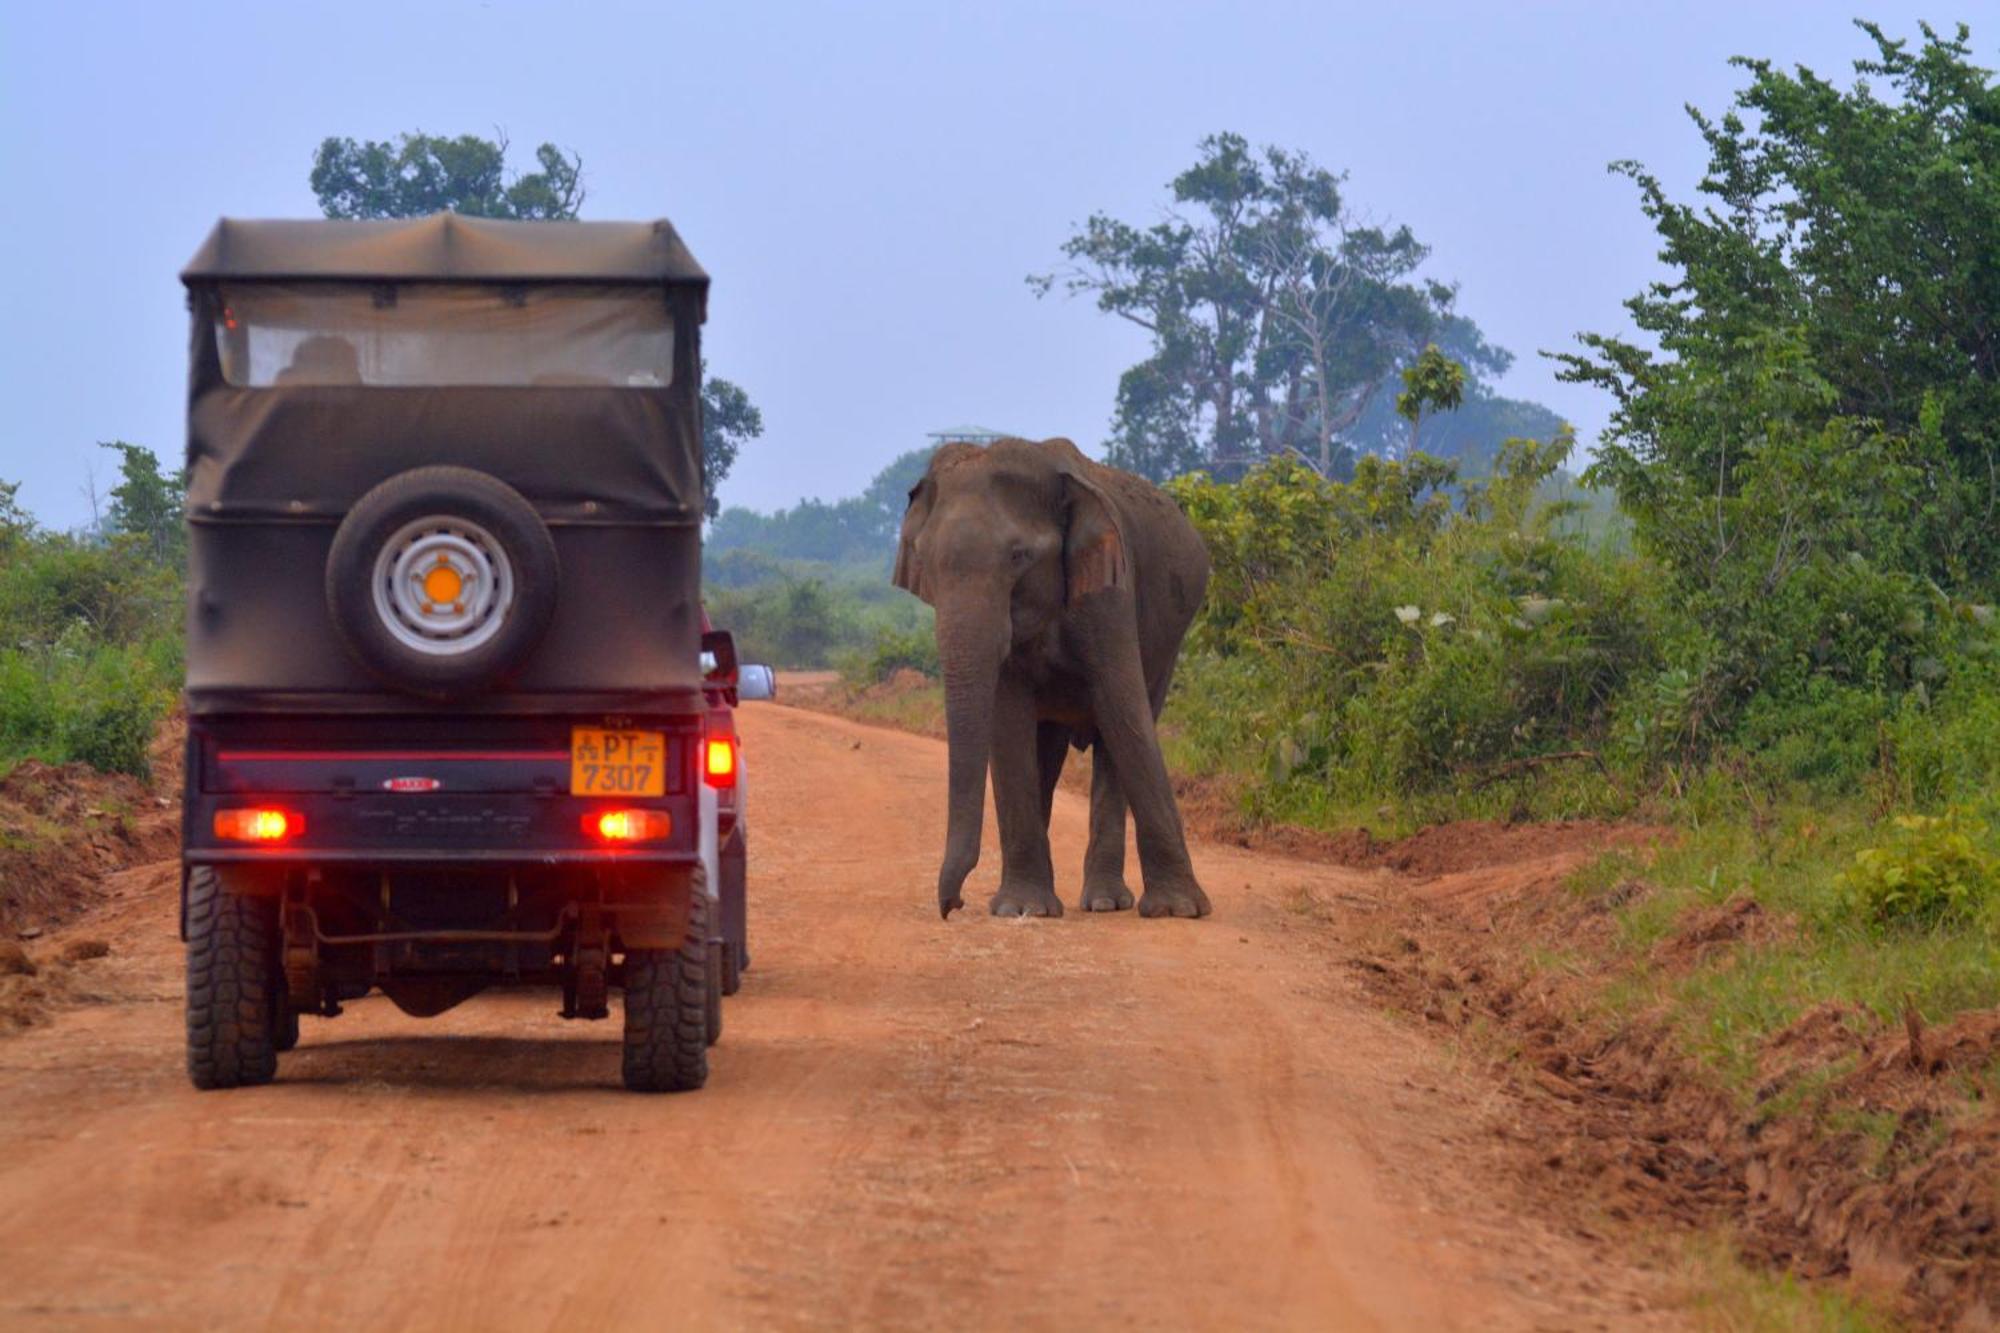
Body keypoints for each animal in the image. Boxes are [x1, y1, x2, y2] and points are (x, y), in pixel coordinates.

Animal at [896, 434, 1208, 912]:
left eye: (1018, 556)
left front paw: (1180, 911)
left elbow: (1126, 713)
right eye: (924, 560)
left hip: (1171, 637)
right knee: (1048, 746)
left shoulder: (1109, 592)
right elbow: (1008, 722)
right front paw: (1021, 909)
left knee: (1118, 733)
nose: (955, 904)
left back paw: (1106, 903)